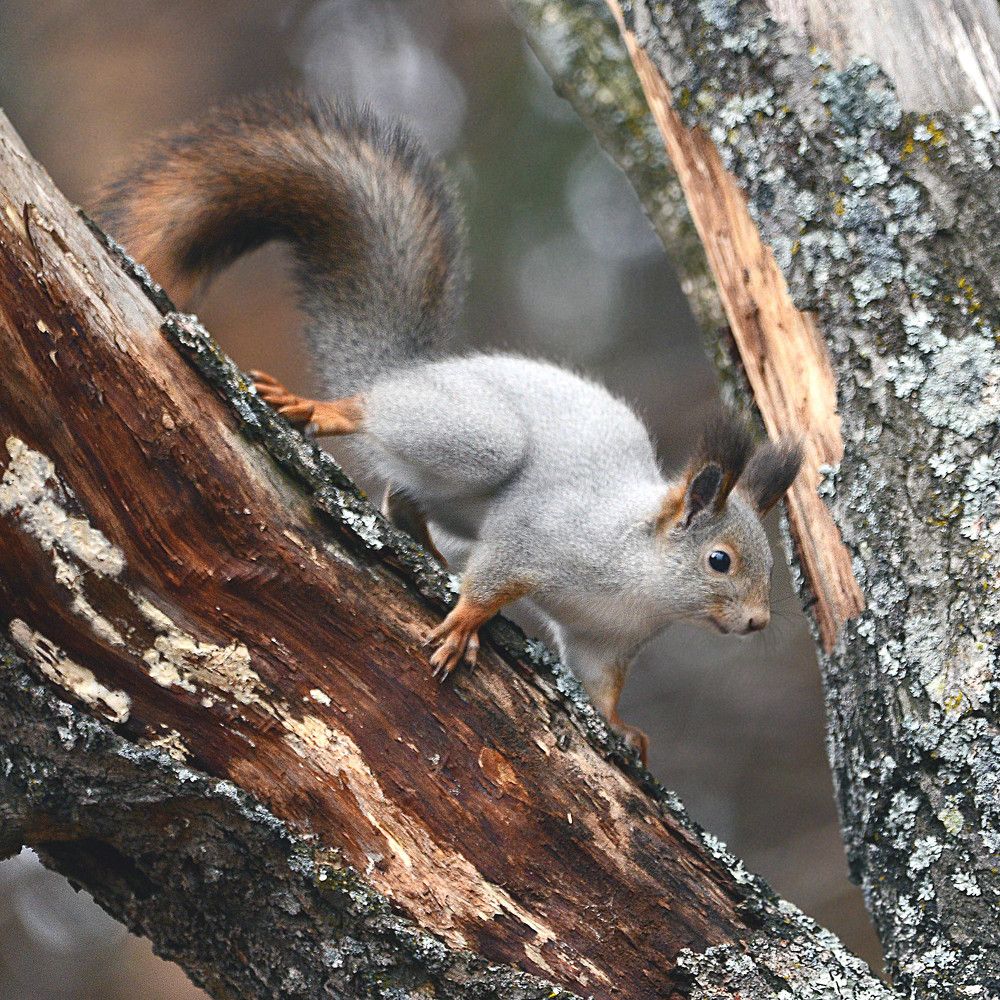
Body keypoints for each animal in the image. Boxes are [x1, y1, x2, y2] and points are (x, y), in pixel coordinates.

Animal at [95, 91, 802, 763]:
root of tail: (412, 370)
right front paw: (466, 620)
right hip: (475, 438)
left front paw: (623, 730)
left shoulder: (604, 642)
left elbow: (601, 688)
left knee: (402, 499)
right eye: (719, 561)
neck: (642, 582)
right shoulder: (542, 532)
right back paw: (332, 411)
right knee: (383, 424)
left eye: (768, 566)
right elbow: (495, 573)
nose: (759, 622)